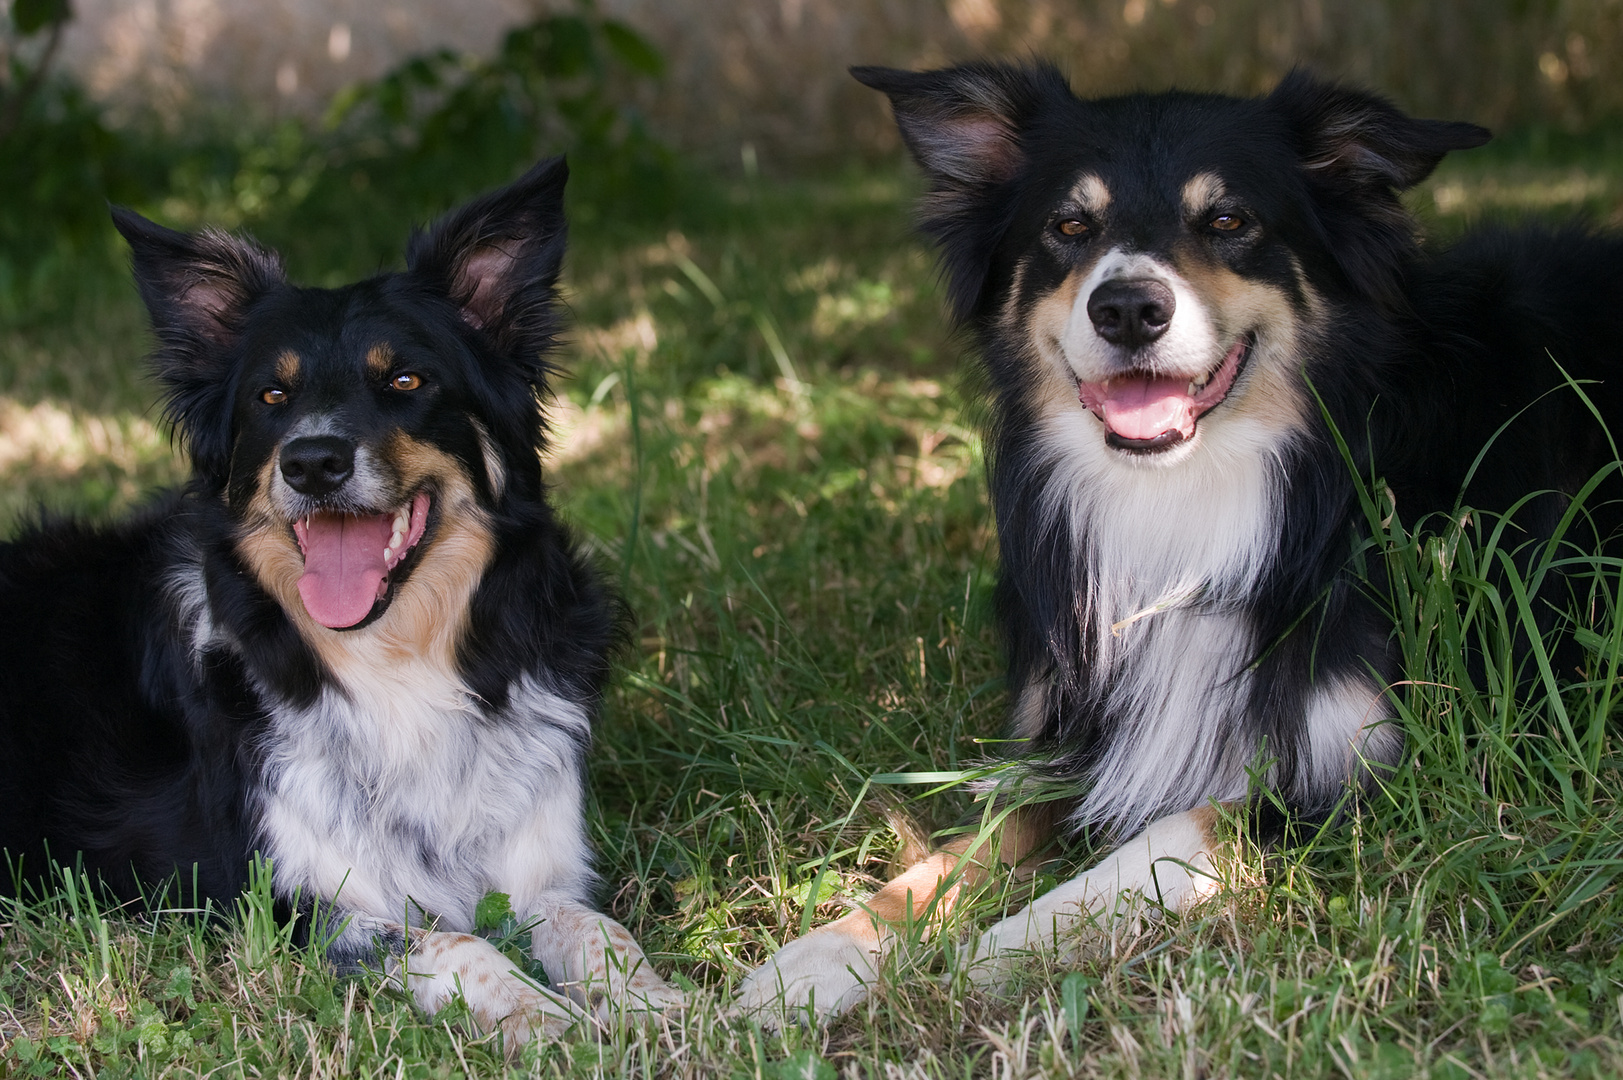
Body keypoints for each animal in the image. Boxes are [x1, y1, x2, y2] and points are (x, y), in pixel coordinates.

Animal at [0, 155, 678, 1039]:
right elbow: (457, 945)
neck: (395, 657)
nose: (313, 462)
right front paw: (547, 1022)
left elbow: (599, 931)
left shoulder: (543, 870)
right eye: (271, 397)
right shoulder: (283, 899)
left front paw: (660, 1008)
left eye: (406, 379)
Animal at [743, 63, 1623, 1013]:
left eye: (1228, 220)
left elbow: (1166, 835)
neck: (1191, 495)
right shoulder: (1074, 734)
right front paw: (820, 959)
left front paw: (999, 947)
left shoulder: (1388, 760)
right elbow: (962, 847)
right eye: (1068, 226)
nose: (1128, 307)